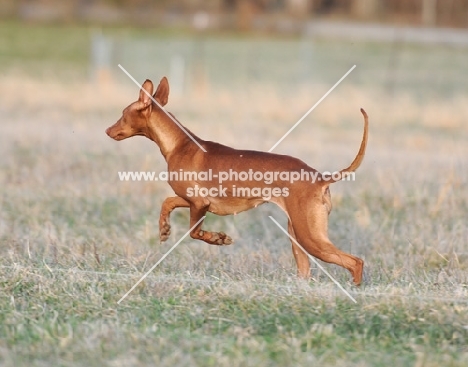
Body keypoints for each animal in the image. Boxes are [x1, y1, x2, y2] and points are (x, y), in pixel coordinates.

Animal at [106, 77, 370, 284]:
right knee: (307, 271)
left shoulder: (199, 204)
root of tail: (319, 178)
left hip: (309, 236)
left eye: (122, 114)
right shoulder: (192, 200)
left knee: (355, 262)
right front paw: (164, 228)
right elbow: (167, 202)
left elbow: (194, 232)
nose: (107, 130)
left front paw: (217, 239)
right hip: (297, 236)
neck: (179, 144)